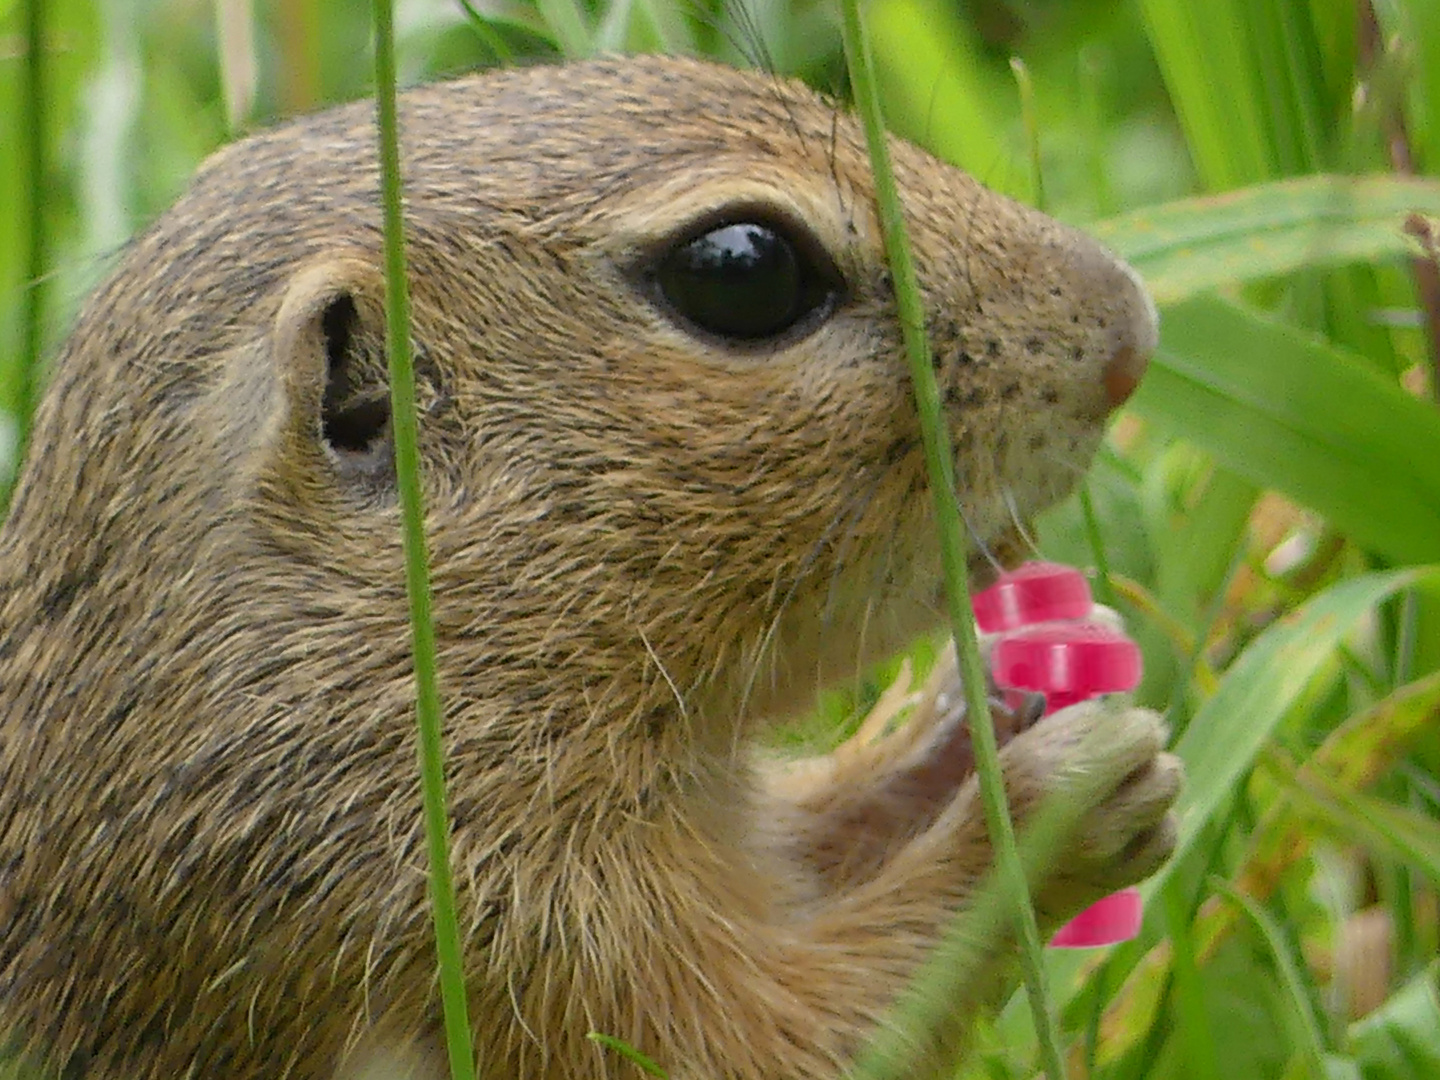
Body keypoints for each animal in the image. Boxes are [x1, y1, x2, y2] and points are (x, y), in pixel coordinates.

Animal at [0, 57, 1180, 1080]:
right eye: (741, 268)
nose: (1131, 329)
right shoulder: (473, 936)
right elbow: (798, 1038)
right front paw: (1050, 807)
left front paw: (983, 706)